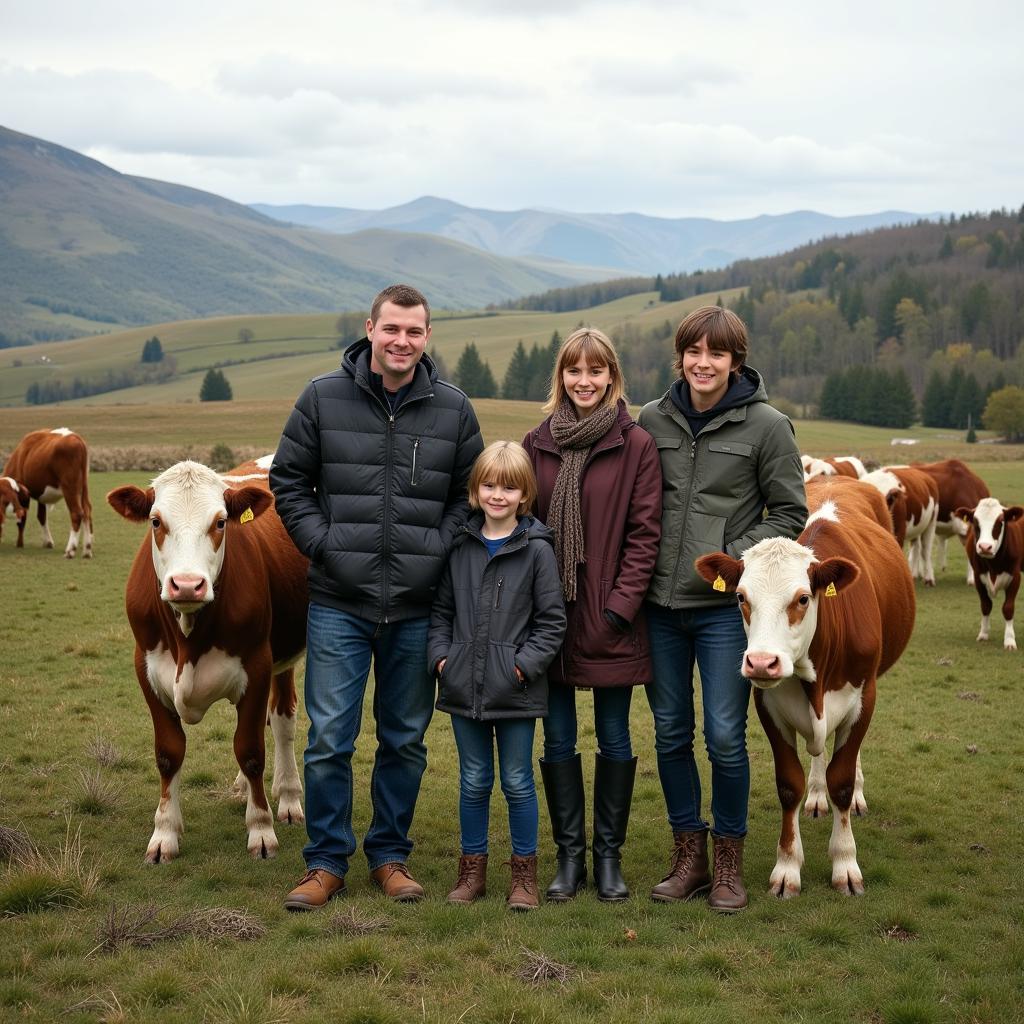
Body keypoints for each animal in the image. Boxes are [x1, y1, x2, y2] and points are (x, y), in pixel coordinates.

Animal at [3, 423, 94, 557]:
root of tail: (77, 439)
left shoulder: (24, 495)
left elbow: (22, 519)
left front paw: (19, 544)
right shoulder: (41, 496)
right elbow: (41, 516)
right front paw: (47, 542)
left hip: (70, 488)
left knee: (77, 513)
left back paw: (70, 550)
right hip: (84, 488)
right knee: (87, 512)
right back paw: (87, 550)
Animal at [109, 460, 307, 860]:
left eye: (220, 522)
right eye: (156, 521)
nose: (187, 584)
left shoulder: (258, 666)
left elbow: (250, 749)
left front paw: (261, 830)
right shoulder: (146, 670)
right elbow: (168, 753)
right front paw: (164, 834)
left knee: (282, 720)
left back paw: (289, 797)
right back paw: (246, 788)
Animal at [692, 489, 917, 897]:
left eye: (801, 599)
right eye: (741, 597)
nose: (761, 662)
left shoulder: (864, 697)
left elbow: (841, 780)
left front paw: (845, 864)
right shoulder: (768, 706)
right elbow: (789, 785)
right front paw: (787, 867)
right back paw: (816, 794)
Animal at [954, 499, 1019, 651]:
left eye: (1000, 522)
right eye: (975, 522)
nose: (985, 547)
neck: (994, 565)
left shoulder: (1015, 577)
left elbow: (1008, 608)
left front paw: (1009, 640)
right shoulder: (978, 578)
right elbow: (986, 605)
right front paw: (983, 633)